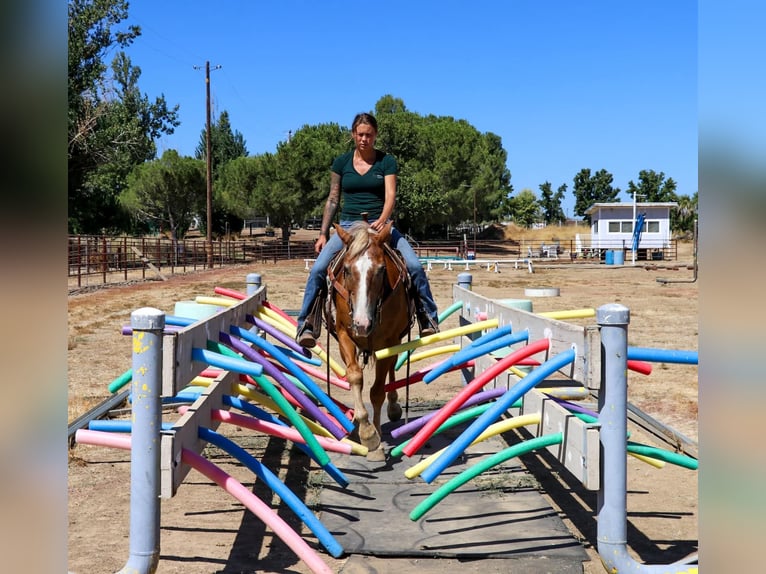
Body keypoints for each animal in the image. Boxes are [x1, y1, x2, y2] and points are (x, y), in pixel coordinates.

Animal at [328, 222, 416, 464]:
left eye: (381, 270)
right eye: (347, 270)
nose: (362, 323)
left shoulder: (389, 341)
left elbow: (377, 391)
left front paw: (373, 439)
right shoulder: (344, 334)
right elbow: (355, 376)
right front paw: (364, 427)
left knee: (391, 372)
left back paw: (394, 407)